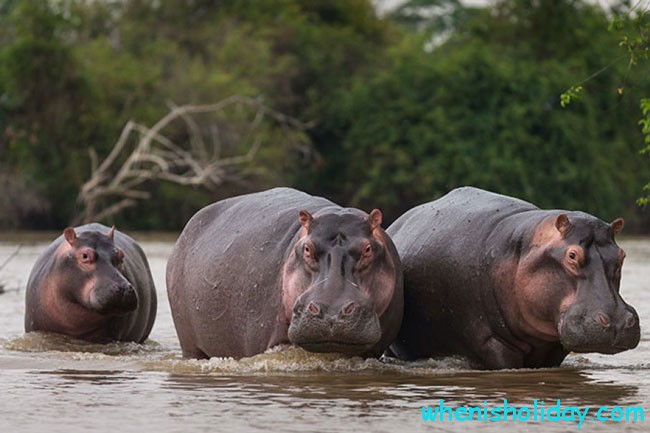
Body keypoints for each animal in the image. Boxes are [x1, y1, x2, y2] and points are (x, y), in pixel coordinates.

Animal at [384, 186, 636, 368]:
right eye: (572, 255)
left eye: (622, 255)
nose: (617, 321)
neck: (524, 248)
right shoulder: (492, 341)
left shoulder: (555, 347)